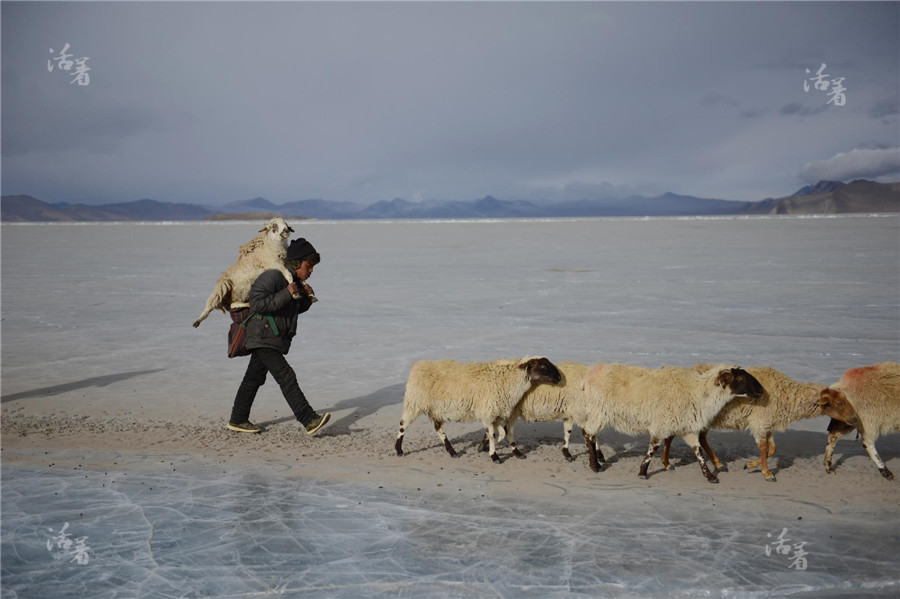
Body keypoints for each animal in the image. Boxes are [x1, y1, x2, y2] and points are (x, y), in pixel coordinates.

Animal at [396, 356, 560, 464]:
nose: (559, 377)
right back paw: (399, 450)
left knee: (438, 428)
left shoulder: (495, 413)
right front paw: (494, 456)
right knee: (403, 424)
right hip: (415, 402)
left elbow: (501, 433)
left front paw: (484, 447)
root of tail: (418, 365)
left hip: (436, 408)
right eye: (543, 366)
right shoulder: (488, 412)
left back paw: (452, 452)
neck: (508, 380)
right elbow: (493, 434)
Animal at [580, 366, 764, 482]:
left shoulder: (686, 425)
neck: (699, 393)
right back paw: (595, 465)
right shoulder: (662, 422)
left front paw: (710, 476)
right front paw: (643, 472)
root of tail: (588, 376)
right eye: (741, 378)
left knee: (590, 434)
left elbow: (697, 452)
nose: (762, 391)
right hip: (600, 411)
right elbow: (653, 448)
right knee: (588, 434)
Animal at [656, 366, 828, 482]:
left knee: (697, 438)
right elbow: (764, 448)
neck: (788, 395)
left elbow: (772, 448)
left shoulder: (767, 423)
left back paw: (716, 464)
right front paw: (767, 473)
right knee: (677, 436)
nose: (761, 392)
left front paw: (751, 465)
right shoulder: (760, 421)